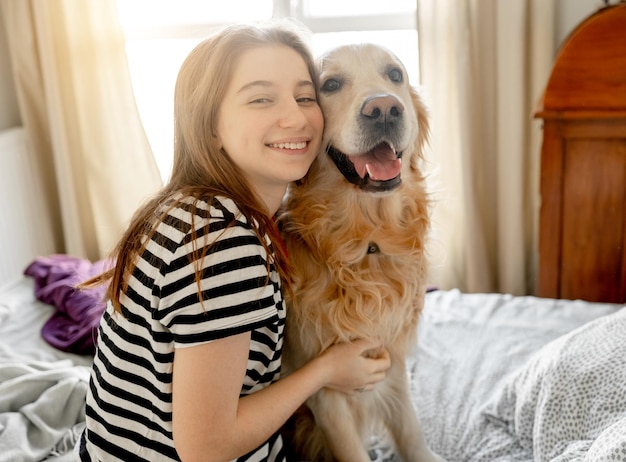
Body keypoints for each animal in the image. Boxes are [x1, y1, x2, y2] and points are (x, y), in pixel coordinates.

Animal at [278, 44, 444, 462]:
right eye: (330, 85)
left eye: (395, 75)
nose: (384, 109)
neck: (368, 242)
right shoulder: (328, 391)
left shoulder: (392, 362)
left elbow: (412, 433)